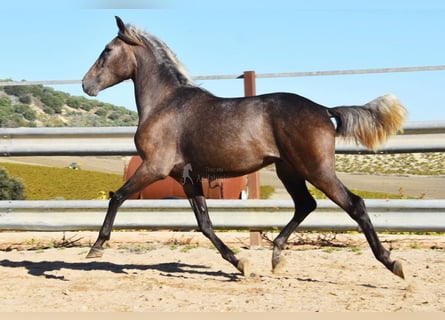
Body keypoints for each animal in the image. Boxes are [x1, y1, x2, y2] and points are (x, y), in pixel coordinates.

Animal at [81, 16, 408, 278]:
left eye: (107, 50)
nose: (86, 85)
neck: (166, 102)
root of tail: (322, 109)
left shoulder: (155, 167)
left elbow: (117, 197)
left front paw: (96, 247)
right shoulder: (186, 176)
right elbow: (205, 223)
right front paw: (240, 263)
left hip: (316, 169)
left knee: (354, 204)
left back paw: (392, 263)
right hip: (289, 170)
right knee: (306, 204)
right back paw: (276, 257)